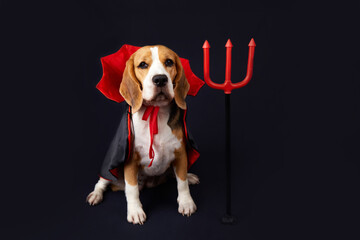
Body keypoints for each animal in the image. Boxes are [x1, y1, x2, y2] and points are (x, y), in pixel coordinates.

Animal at [87, 45, 200, 225]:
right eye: (142, 65)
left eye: (169, 62)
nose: (160, 79)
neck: (156, 112)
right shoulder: (130, 160)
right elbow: (132, 189)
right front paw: (135, 211)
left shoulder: (181, 153)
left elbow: (181, 182)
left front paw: (186, 202)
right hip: (109, 169)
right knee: (102, 181)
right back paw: (96, 195)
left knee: (174, 175)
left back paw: (189, 177)